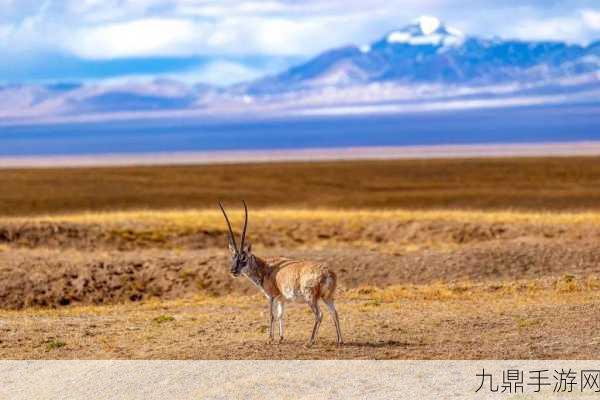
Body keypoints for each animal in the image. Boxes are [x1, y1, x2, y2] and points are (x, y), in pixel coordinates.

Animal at [219, 202, 342, 346]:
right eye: (233, 257)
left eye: (244, 258)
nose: (233, 271)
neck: (266, 267)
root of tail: (328, 273)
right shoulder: (281, 299)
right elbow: (280, 315)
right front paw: (281, 338)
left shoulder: (271, 296)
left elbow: (271, 315)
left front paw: (270, 338)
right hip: (327, 297)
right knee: (334, 313)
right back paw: (340, 340)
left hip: (310, 297)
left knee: (319, 315)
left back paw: (310, 341)